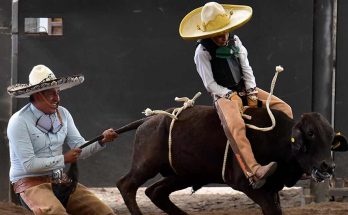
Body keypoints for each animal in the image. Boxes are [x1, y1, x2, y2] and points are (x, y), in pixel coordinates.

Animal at [115, 105, 346, 215]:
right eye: (310, 133)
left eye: (331, 137)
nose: (328, 166)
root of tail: (150, 119)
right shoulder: (248, 185)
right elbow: (272, 210)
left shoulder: (273, 187)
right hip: (146, 165)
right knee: (126, 185)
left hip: (184, 175)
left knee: (155, 192)